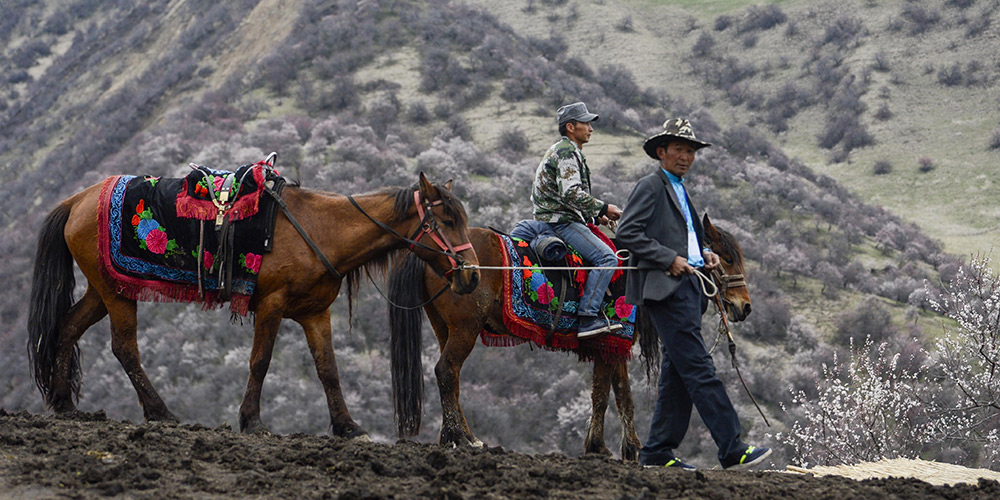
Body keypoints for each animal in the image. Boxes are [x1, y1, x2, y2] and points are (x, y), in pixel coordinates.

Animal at [29, 174, 482, 440]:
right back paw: (161, 412)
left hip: (103, 289)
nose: (473, 276)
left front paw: (347, 426)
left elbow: (328, 370)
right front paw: (252, 420)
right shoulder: (271, 304)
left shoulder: (315, 313)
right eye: (447, 221)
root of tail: (78, 200)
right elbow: (260, 361)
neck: (320, 229)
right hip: (117, 292)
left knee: (67, 328)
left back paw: (65, 404)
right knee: (125, 348)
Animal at [386, 213, 748, 458]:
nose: (744, 306)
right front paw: (610, 447)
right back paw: (457, 437)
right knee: (447, 372)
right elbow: (610, 395)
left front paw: (619, 447)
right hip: (464, 329)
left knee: (452, 379)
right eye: (728, 258)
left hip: (444, 328)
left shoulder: (610, 345)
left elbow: (615, 394)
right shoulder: (612, 343)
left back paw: (465, 437)